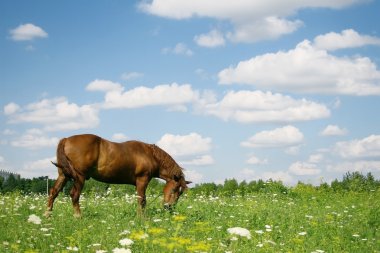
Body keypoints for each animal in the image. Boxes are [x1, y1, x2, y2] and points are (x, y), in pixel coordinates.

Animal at [45, 134, 191, 217]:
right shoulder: (142, 180)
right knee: (74, 195)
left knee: (54, 192)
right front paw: (142, 218)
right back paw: (78, 216)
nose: (169, 207)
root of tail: (66, 140)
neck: (150, 154)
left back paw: (47, 215)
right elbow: (142, 200)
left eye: (180, 193)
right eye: (174, 189)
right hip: (79, 177)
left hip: (63, 175)